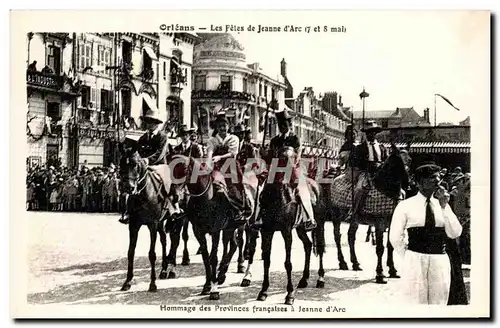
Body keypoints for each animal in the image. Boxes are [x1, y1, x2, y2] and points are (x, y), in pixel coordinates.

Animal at [117, 146, 178, 292]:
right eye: (121, 164)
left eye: (135, 164)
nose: (128, 187)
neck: (143, 194)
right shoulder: (133, 225)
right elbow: (130, 252)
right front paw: (127, 281)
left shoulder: (152, 225)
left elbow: (152, 254)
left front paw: (152, 284)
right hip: (161, 222)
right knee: (164, 240)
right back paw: (164, 270)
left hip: (177, 220)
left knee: (175, 240)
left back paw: (172, 269)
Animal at [172, 154, 258, 300]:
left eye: (184, 169)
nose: (175, 195)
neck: (207, 199)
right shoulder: (199, 231)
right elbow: (206, 258)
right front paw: (208, 285)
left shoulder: (215, 231)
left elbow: (213, 258)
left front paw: (214, 289)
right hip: (230, 227)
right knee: (234, 245)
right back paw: (222, 275)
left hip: (250, 224)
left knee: (250, 247)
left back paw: (246, 277)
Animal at [324, 145, 410, 284]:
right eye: (398, 162)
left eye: (410, 160)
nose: (408, 183)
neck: (386, 189)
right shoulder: (380, 224)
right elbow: (380, 249)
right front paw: (380, 274)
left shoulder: (392, 223)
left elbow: (390, 246)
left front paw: (392, 270)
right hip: (336, 215)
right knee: (337, 236)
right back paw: (342, 262)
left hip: (355, 219)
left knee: (351, 236)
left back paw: (355, 263)